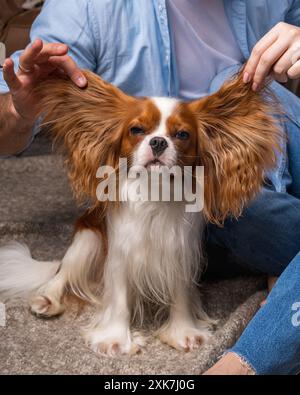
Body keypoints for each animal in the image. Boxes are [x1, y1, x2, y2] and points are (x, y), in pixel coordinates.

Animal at [0, 69, 280, 358]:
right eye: (136, 130)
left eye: (182, 134)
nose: (157, 141)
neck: (154, 190)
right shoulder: (120, 253)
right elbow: (119, 298)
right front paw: (115, 340)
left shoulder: (180, 251)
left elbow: (180, 294)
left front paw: (183, 333)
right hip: (88, 238)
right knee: (63, 272)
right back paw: (47, 298)